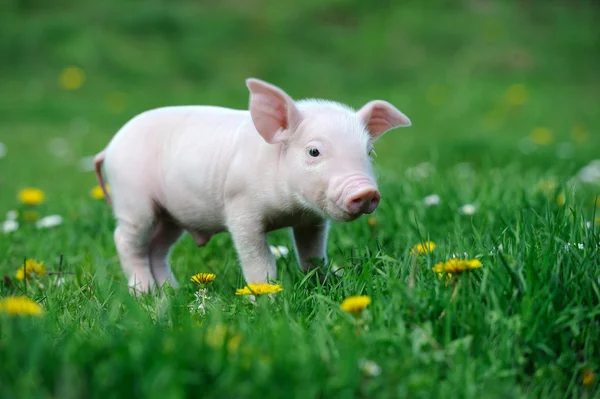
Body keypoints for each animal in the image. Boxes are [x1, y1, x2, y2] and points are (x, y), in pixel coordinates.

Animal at [95, 78, 412, 292]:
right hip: (133, 200)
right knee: (126, 241)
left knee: (157, 248)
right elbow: (259, 260)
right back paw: (145, 293)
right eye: (314, 152)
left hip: (171, 215)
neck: (290, 209)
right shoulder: (240, 210)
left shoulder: (312, 220)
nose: (365, 191)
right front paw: (266, 298)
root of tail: (109, 148)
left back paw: (172, 292)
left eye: (369, 152)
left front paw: (326, 285)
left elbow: (313, 256)